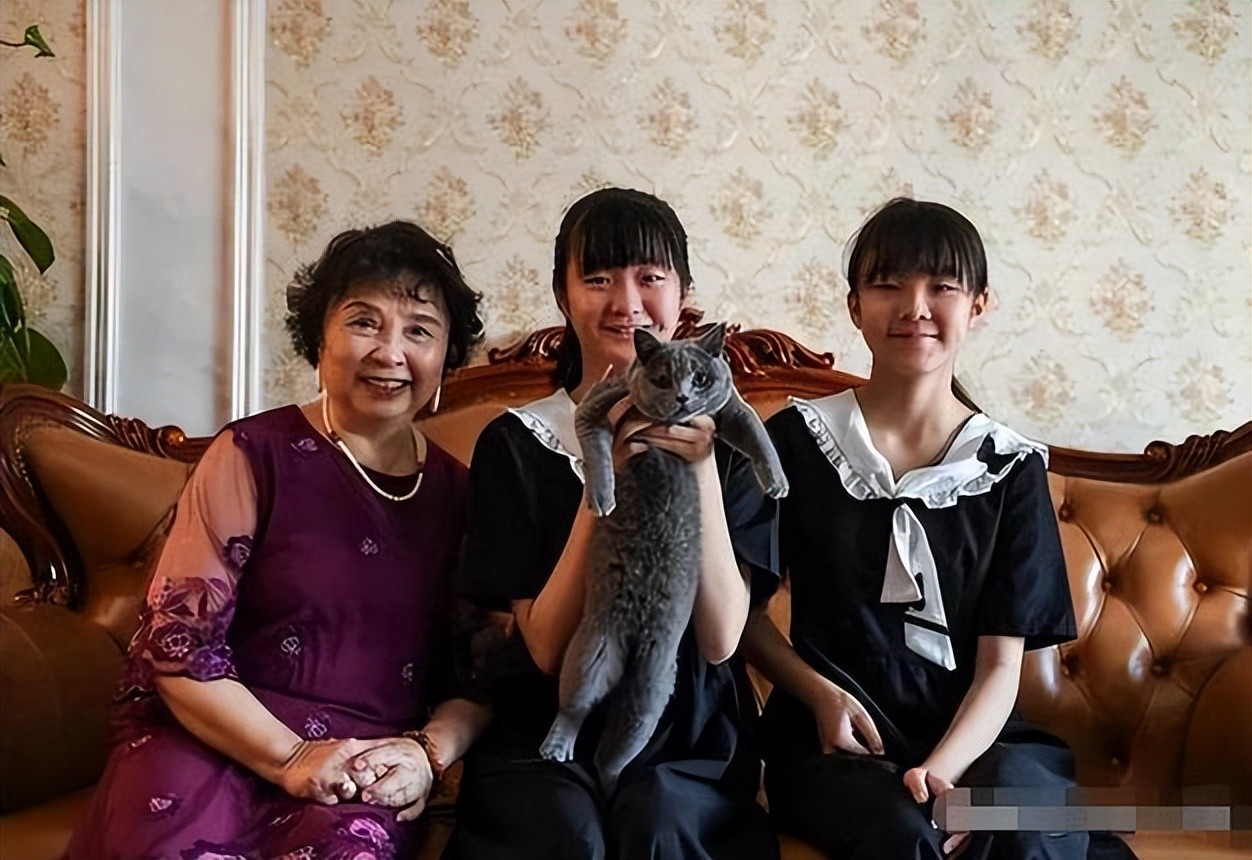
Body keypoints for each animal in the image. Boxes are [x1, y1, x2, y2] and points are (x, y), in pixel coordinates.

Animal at [538, 323, 788, 794]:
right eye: (661, 379)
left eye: (702, 379)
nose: (684, 398)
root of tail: (635, 634)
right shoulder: (601, 404)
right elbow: (596, 448)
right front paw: (603, 498)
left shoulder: (727, 408)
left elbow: (756, 433)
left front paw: (776, 483)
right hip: (590, 651)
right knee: (575, 708)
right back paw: (557, 748)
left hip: (653, 681)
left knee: (615, 746)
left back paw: (612, 781)